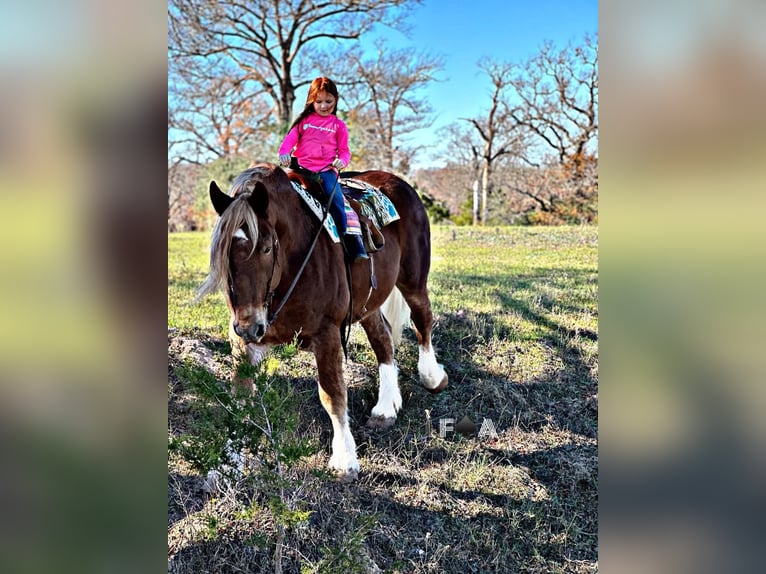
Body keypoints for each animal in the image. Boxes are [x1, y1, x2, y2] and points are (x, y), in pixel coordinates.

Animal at [198, 163, 450, 482]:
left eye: (266, 248)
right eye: (223, 252)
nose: (249, 326)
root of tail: (398, 183)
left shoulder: (327, 333)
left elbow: (332, 394)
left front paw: (344, 461)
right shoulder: (243, 342)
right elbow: (239, 399)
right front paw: (227, 464)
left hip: (413, 279)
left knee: (422, 319)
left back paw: (433, 376)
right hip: (366, 302)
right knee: (383, 341)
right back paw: (385, 408)